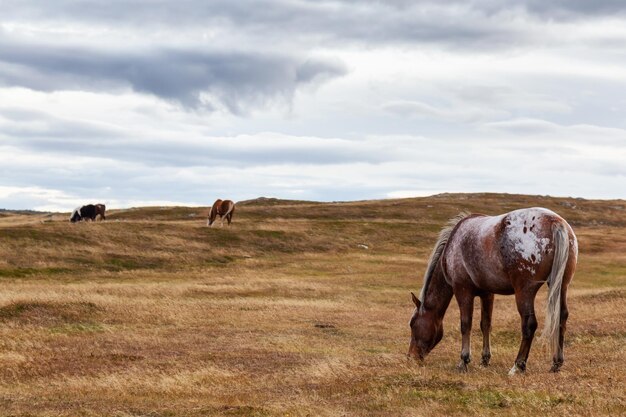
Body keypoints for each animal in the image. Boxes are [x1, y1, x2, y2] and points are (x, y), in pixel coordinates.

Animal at [408, 208, 576, 374]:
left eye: (412, 324)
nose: (411, 356)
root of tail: (555, 223)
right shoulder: (487, 294)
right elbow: (485, 324)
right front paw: (485, 359)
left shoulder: (462, 291)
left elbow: (465, 324)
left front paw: (463, 361)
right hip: (562, 286)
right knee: (561, 318)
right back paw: (556, 363)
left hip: (525, 291)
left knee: (529, 324)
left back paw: (518, 365)